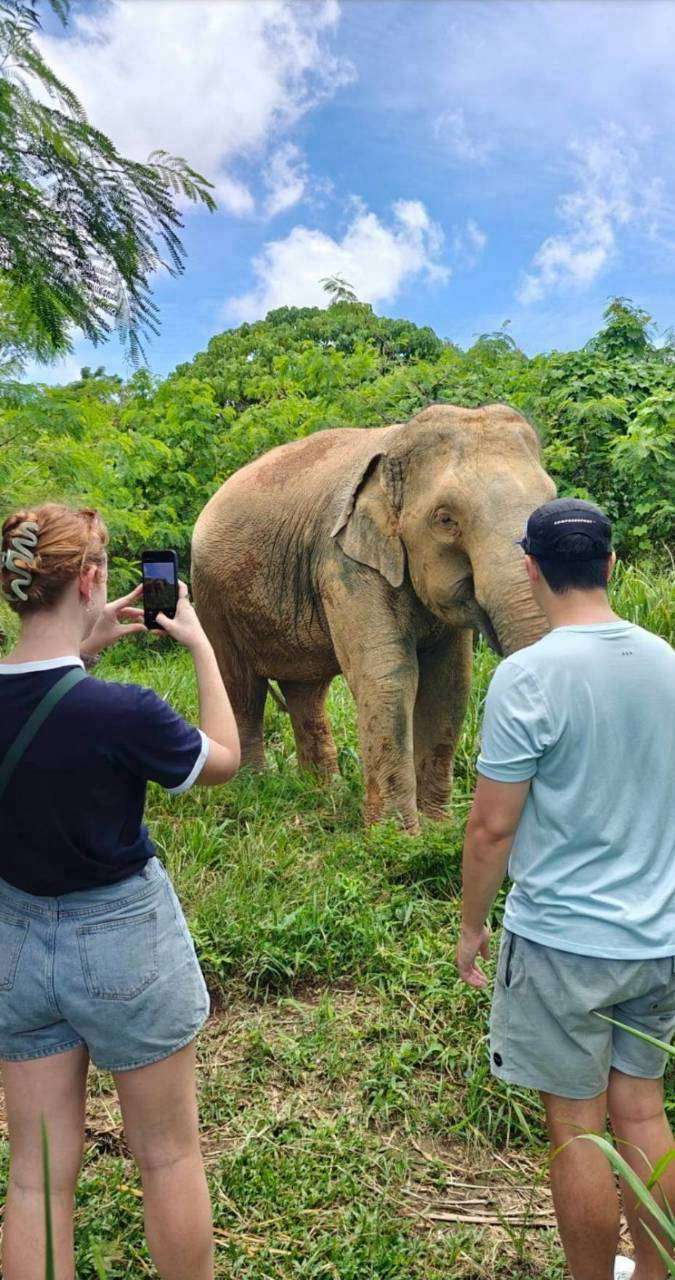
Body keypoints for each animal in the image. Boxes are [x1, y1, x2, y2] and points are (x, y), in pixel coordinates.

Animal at [191, 403, 556, 831]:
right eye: (445, 520)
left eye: (551, 499)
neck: (395, 444)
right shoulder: (343, 562)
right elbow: (388, 677)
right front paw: (396, 836)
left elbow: (449, 684)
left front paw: (437, 826)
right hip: (211, 596)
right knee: (241, 686)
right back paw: (251, 788)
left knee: (306, 691)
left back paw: (323, 793)